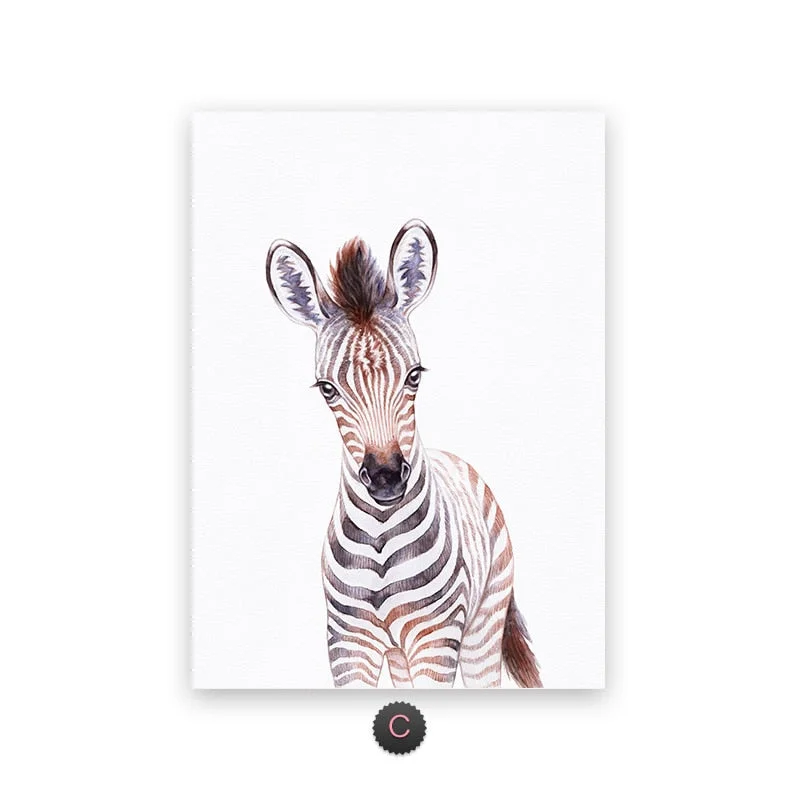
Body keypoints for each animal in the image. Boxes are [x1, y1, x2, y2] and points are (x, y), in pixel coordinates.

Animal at [266, 220, 542, 688]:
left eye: (414, 376)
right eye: (327, 389)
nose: (385, 477)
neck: (379, 538)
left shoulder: (436, 639)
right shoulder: (347, 644)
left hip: (483, 626)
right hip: (398, 653)